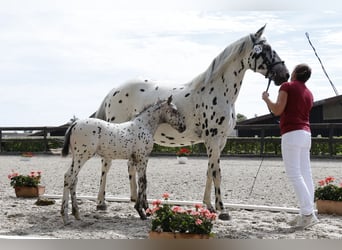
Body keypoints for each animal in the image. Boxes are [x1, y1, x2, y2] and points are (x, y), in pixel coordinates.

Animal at [60, 96, 186, 225]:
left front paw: (147, 210)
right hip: (82, 156)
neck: (144, 126)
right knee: (69, 177)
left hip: (76, 157)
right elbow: (143, 181)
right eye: (174, 110)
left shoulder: (138, 159)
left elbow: (142, 182)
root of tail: (74, 124)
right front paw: (141, 211)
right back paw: (65, 217)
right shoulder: (142, 157)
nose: (183, 127)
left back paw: (76, 214)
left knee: (73, 180)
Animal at [93, 24, 288, 221]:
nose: (284, 75)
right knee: (106, 165)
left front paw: (209, 206)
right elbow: (217, 173)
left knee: (130, 167)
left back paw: (135, 200)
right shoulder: (213, 139)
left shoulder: (221, 141)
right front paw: (223, 210)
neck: (217, 91)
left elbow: (210, 171)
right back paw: (102, 203)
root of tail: (113, 91)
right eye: (266, 49)